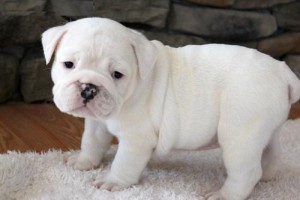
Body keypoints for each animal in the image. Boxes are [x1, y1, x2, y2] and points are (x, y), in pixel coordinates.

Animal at [41, 18, 300, 199]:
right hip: (265, 129)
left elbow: (124, 162)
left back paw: (224, 195)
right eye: (68, 64)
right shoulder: (97, 124)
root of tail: (283, 72)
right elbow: (91, 143)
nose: (89, 88)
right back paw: (267, 176)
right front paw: (83, 162)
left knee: (246, 171)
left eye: (117, 74)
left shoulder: (136, 140)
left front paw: (113, 182)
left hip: (239, 135)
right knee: (271, 153)